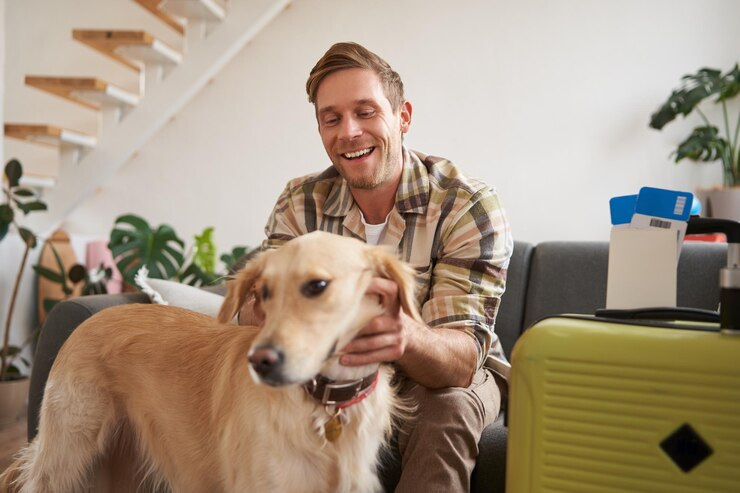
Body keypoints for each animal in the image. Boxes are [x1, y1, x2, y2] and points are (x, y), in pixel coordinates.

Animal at [0, 232, 422, 492]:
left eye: (317, 286)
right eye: (264, 293)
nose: (261, 362)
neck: (325, 405)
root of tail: (87, 315)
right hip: (67, 454)